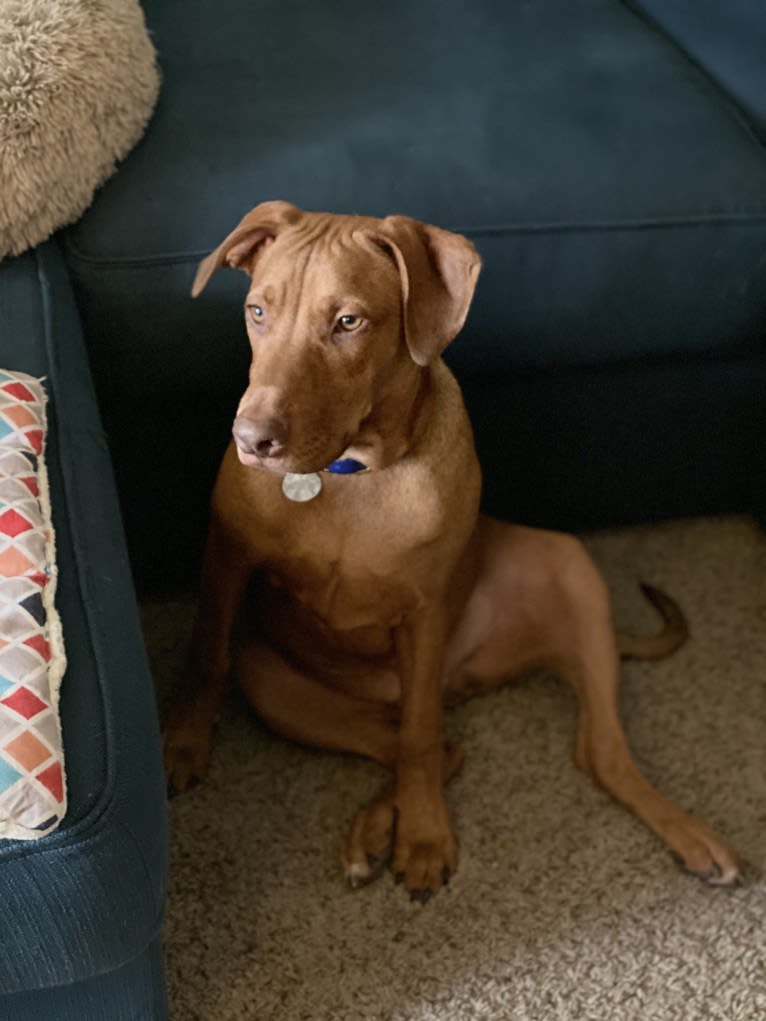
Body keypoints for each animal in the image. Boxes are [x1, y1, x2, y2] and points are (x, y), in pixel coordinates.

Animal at [163, 201, 743, 902]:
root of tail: (464, 681)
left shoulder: (426, 609)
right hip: (271, 679)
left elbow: (418, 736)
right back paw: (368, 833)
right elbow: (205, 657)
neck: (349, 475)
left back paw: (692, 837)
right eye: (256, 311)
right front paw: (182, 748)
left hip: (569, 572)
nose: (253, 440)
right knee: (438, 746)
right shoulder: (228, 555)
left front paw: (423, 837)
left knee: (581, 752)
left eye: (348, 322)